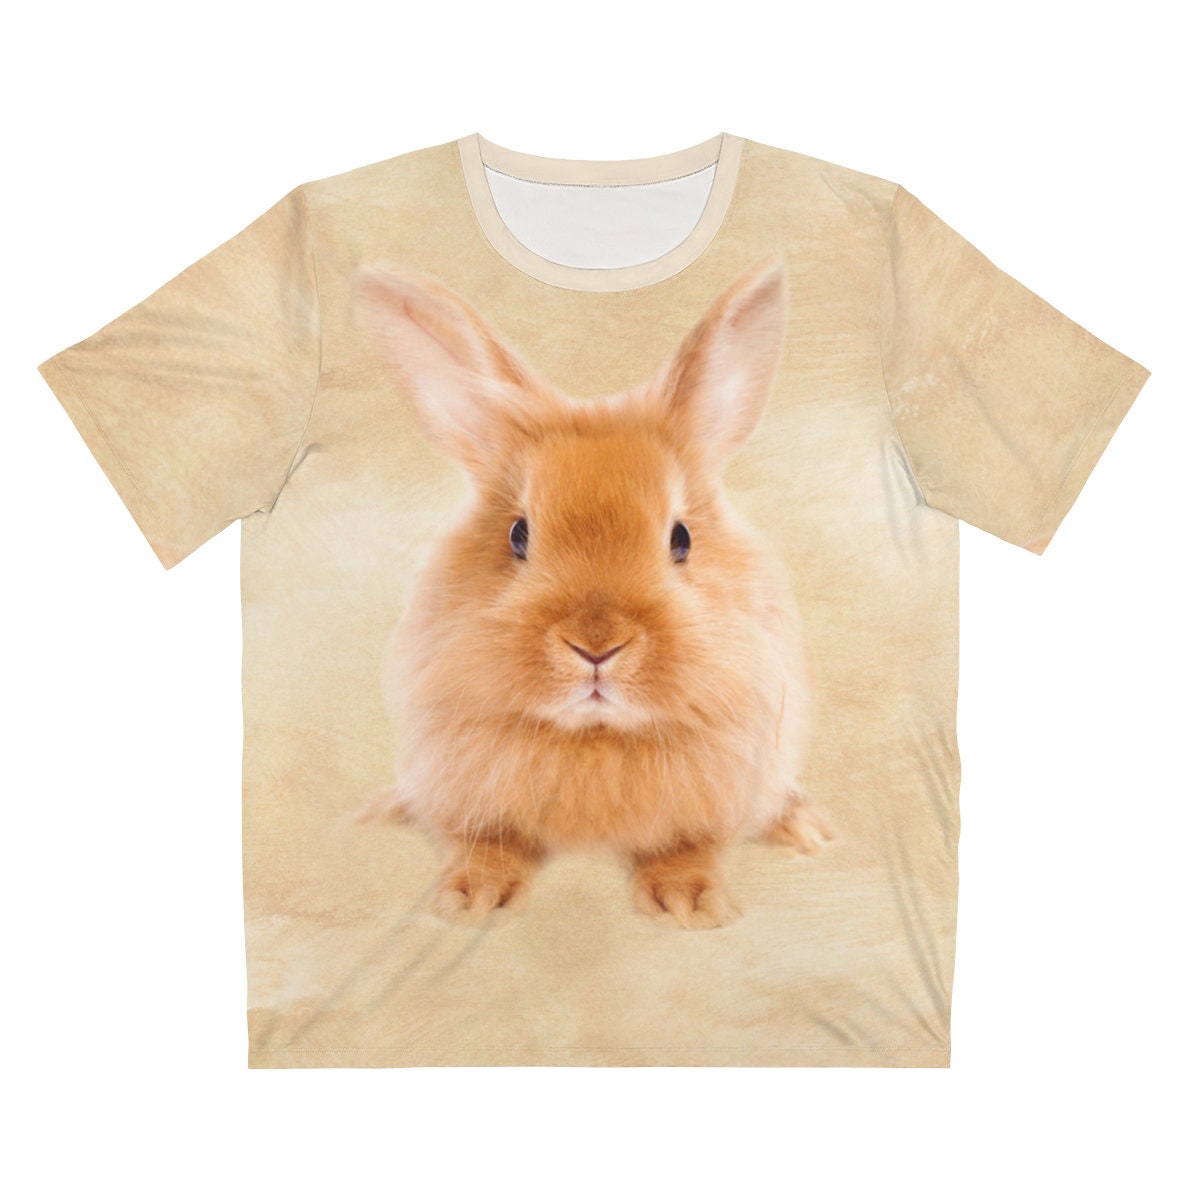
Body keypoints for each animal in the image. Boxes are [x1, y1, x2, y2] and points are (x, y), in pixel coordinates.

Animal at [350, 254, 832, 930]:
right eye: (519, 534)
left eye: (681, 538)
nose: (597, 645)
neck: (595, 738)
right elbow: (488, 843)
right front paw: (472, 900)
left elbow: (687, 846)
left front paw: (690, 905)